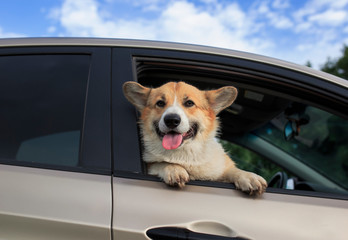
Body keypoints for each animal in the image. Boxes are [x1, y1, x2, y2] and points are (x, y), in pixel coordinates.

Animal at [123, 81, 268, 194]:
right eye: (160, 103)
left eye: (189, 103)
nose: (171, 120)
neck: (185, 153)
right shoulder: (151, 165)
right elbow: (160, 163)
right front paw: (174, 169)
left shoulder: (220, 169)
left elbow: (232, 170)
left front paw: (249, 176)